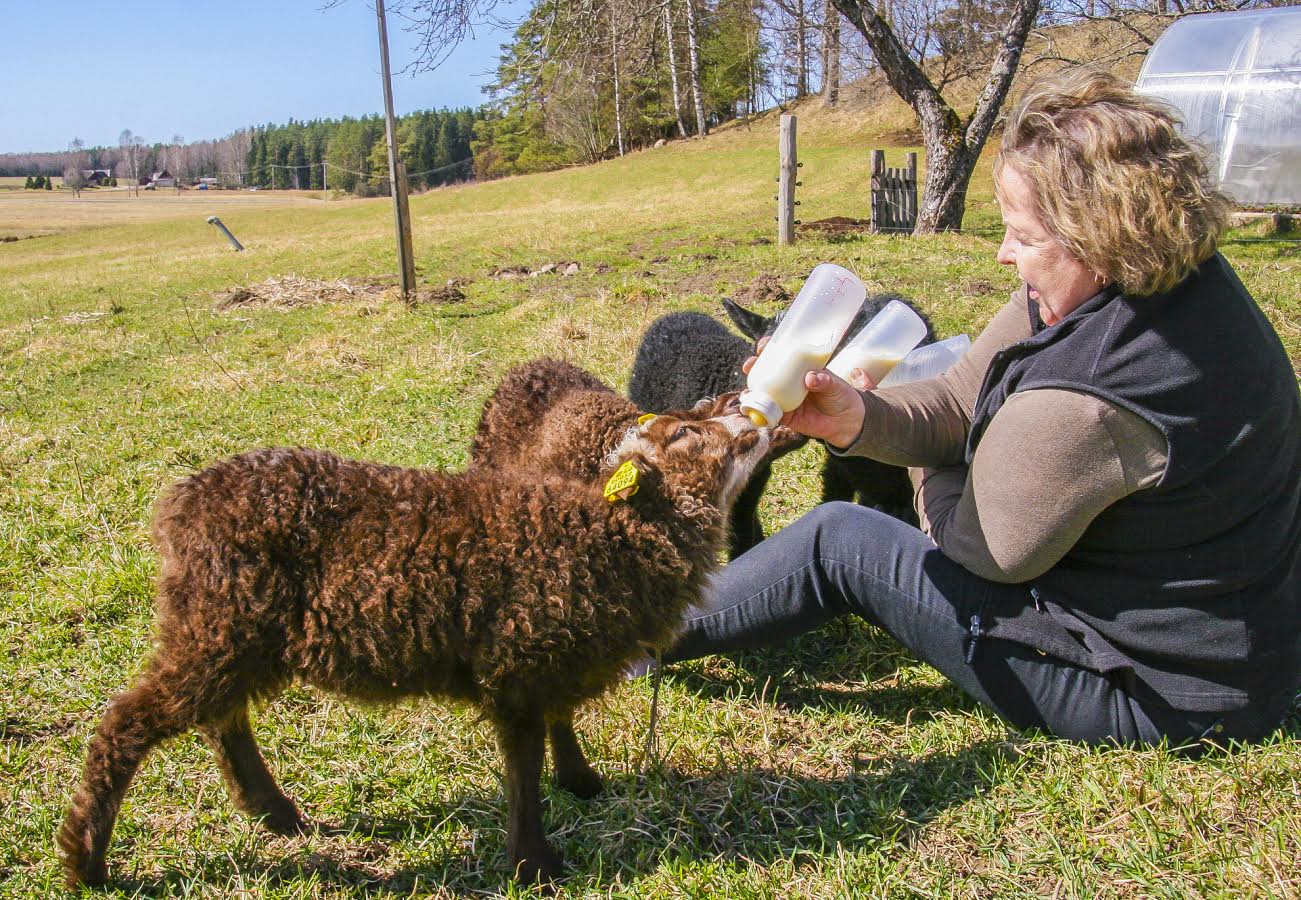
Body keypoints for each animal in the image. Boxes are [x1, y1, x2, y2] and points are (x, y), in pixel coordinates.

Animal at [58, 413, 770, 884]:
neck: (604, 533)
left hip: (231, 634)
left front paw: (582, 783)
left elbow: (561, 723)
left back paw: (275, 813)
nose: (747, 414)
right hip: (218, 629)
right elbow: (523, 765)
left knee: (222, 719)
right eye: (682, 434)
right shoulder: (516, 661)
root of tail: (181, 508)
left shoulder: (551, 659)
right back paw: (87, 861)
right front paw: (535, 864)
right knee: (127, 723)